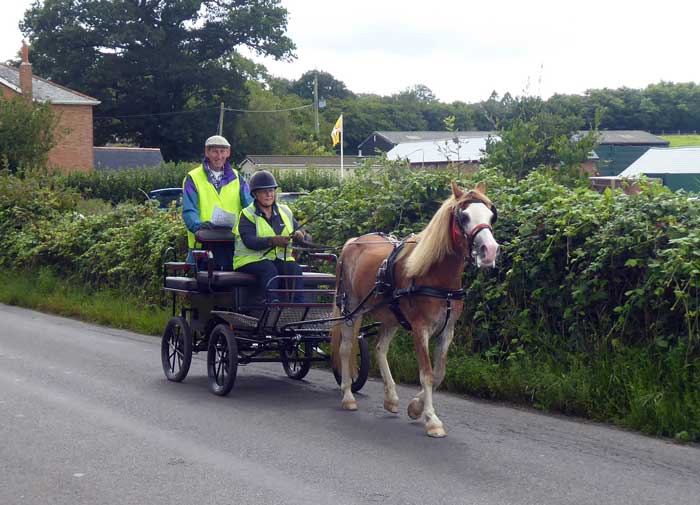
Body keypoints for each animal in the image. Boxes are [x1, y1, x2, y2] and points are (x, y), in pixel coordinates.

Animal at [330, 181, 498, 438]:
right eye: (464, 216)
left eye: (491, 215)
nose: (490, 250)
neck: (438, 278)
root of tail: (353, 242)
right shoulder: (421, 330)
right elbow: (426, 374)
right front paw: (432, 420)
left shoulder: (447, 332)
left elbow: (438, 374)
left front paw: (415, 407)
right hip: (350, 308)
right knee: (346, 349)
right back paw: (348, 395)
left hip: (390, 316)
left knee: (380, 348)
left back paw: (391, 398)